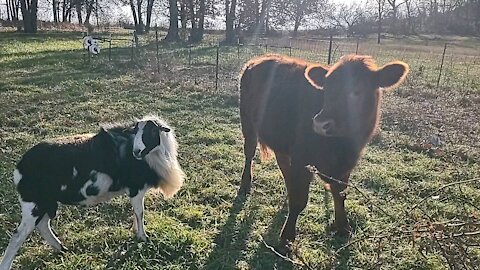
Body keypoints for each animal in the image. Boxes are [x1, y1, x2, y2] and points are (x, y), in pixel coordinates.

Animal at [0, 115, 186, 268]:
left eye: (152, 131)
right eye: (137, 131)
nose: (137, 151)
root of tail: (19, 168)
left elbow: (135, 212)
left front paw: (136, 232)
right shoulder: (136, 188)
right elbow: (140, 213)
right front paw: (142, 237)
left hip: (46, 202)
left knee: (43, 225)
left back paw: (61, 248)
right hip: (34, 203)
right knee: (18, 236)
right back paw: (8, 264)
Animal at [238, 53, 406, 252]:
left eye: (357, 90)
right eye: (326, 90)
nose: (320, 123)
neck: (341, 145)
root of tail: (258, 59)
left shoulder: (345, 166)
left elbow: (340, 194)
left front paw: (343, 227)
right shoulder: (302, 158)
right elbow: (299, 200)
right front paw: (287, 237)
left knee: (283, 164)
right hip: (247, 122)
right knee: (249, 153)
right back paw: (245, 185)